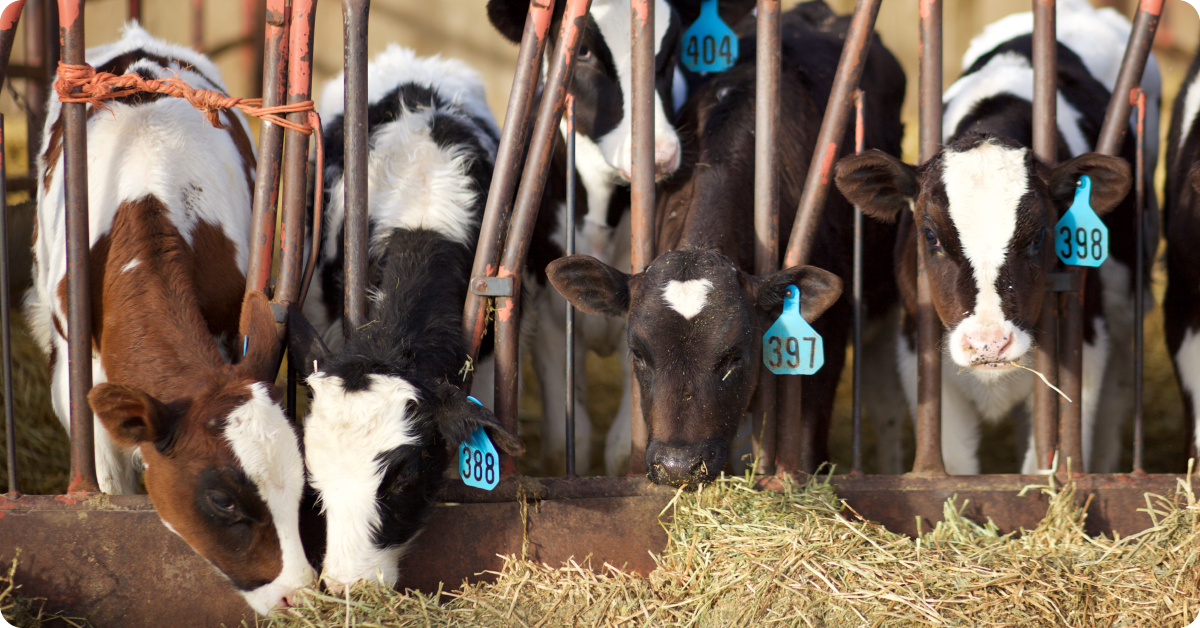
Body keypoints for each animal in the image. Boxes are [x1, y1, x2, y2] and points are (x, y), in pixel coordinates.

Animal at [835, 0, 1154, 475]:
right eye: (930, 235)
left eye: (1040, 236)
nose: (988, 344)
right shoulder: (918, 346)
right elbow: (953, 463)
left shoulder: (1085, 338)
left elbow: (1047, 457)